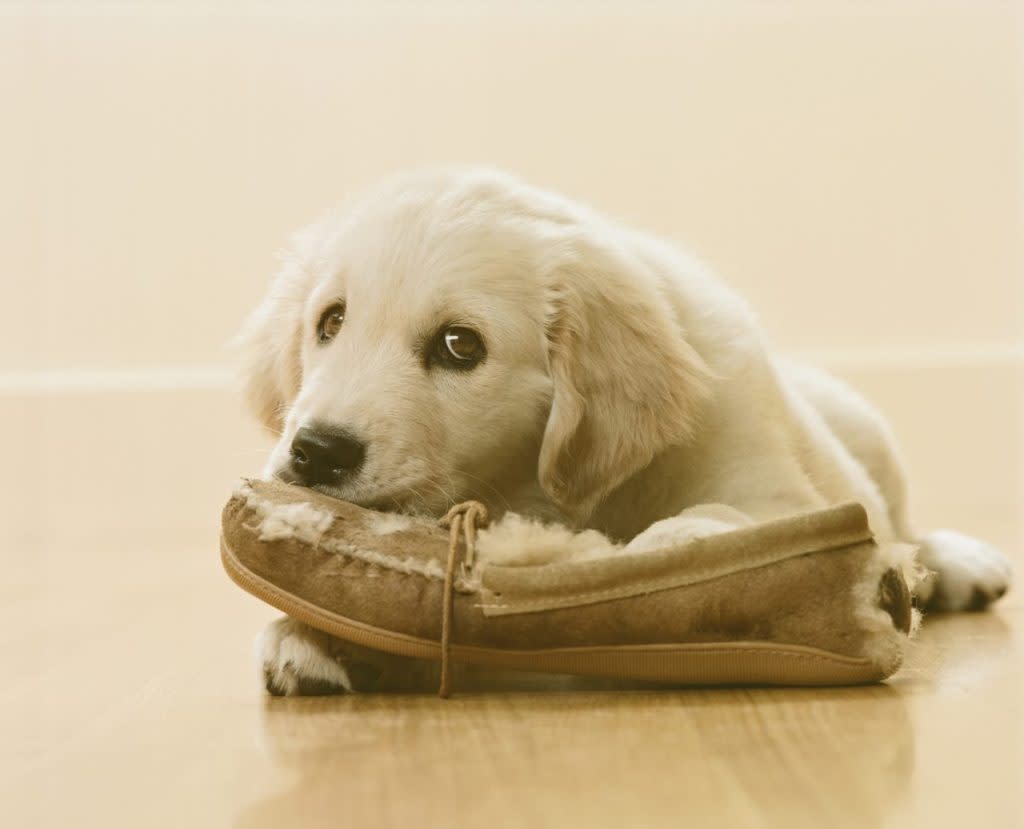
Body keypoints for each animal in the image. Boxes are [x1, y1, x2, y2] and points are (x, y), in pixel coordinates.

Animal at [237, 162, 1007, 691]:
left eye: (460, 345)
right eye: (330, 321)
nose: (316, 451)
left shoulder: (776, 490)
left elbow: (743, 527)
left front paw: (673, 553)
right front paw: (310, 631)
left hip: (869, 432)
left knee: (905, 529)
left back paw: (956, 565)